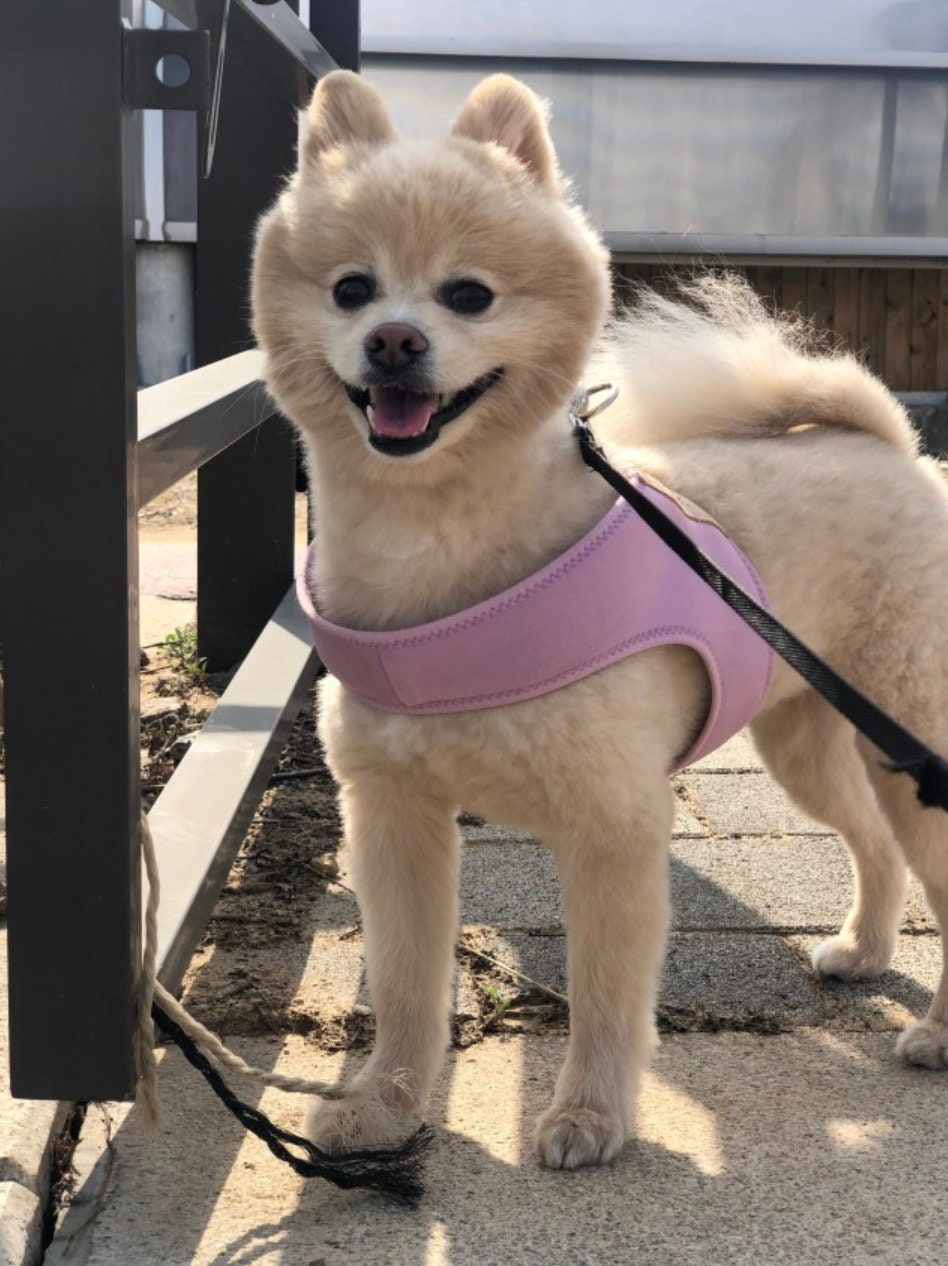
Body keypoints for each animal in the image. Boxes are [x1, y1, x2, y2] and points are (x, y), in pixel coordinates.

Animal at [252, 70, 948, 1169]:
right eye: (351, 288)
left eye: (469, 294)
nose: (395, 340)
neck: (437, 549)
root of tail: (893, 446)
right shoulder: (394, 816)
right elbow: (405, 986)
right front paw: (385, 1108)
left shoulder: (614, 824)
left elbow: (607, 994)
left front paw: (590, 1116)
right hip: (808, 738)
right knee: (873, 844)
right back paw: (865, 950)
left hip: (910, 741)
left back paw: (939, 1032)